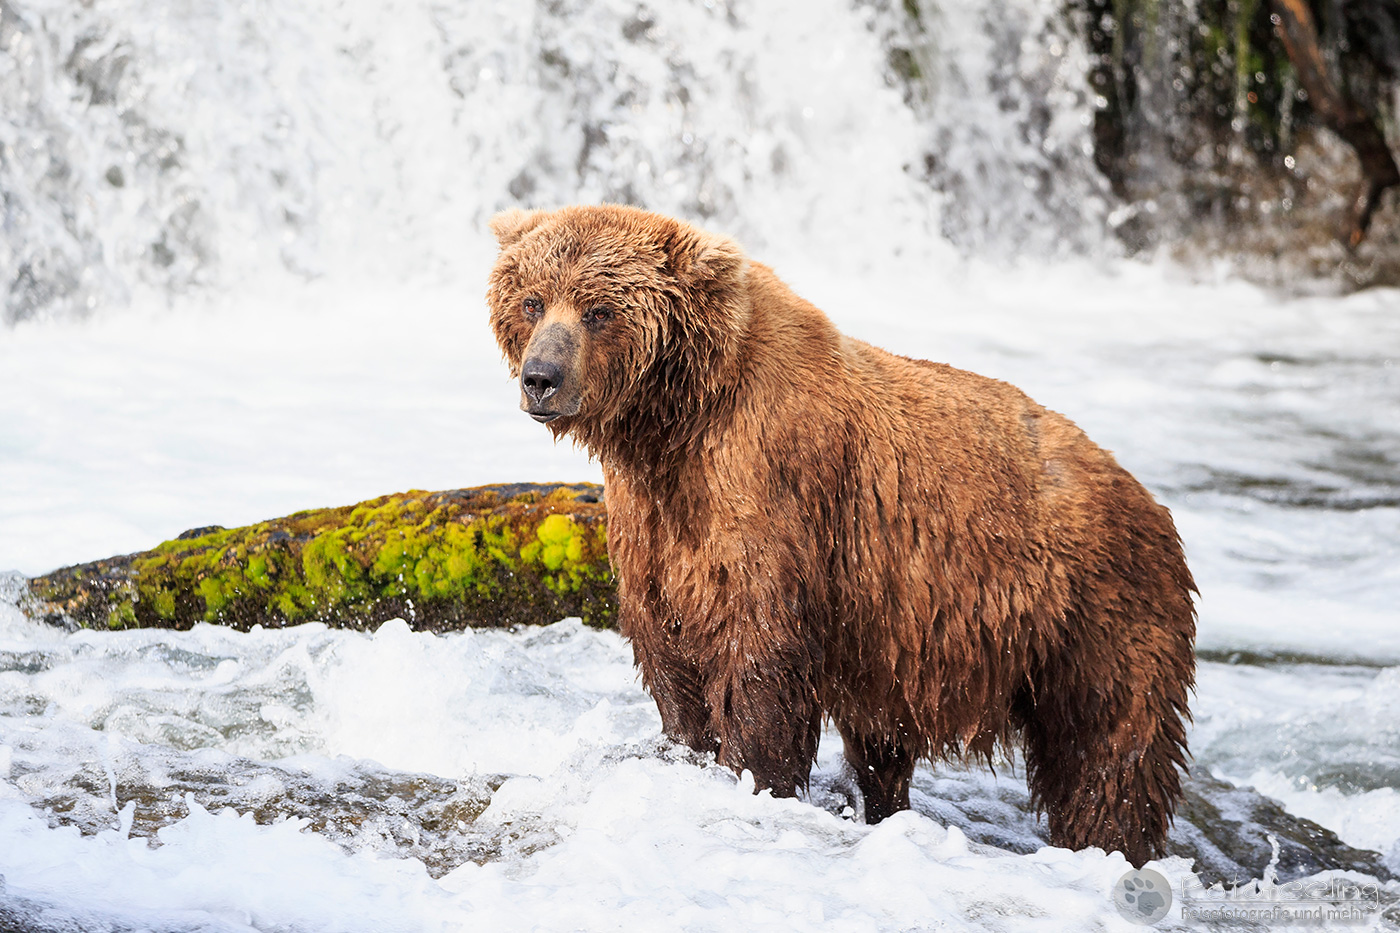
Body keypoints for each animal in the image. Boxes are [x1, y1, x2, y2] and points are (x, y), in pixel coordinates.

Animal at [486, 204, 1196, 867]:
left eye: (599, 309)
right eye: (532, 299)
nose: (541, 377)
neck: (676, 420)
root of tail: (1150, 501)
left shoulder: (772, 488)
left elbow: (760, 653)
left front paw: (752, 775)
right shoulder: (653, 522)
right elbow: (669, 650)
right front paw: (686, 748)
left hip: (1094, 615)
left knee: (1108, 754)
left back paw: (1109, 845)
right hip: (905, 646)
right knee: (886, 746)